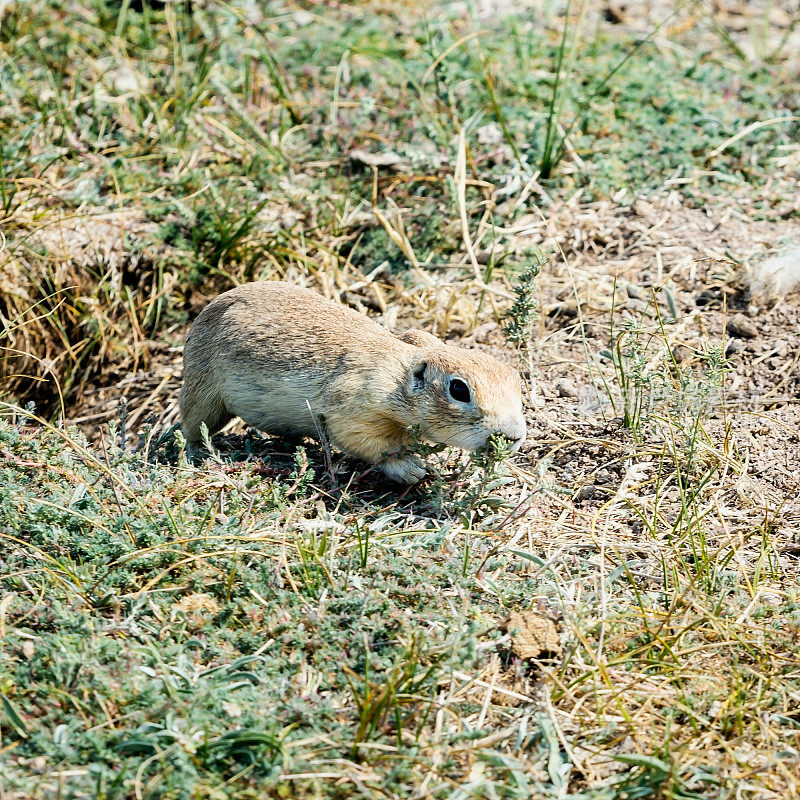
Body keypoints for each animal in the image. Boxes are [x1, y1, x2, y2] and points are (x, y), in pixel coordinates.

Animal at [179, 282, 528, 482]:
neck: (398, 377)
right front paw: (412, 468)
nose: (513, 437)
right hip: (202, 388)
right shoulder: (357, 402)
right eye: (458, 389)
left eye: (515, 380)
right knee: (192, 428)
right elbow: (365, 441)